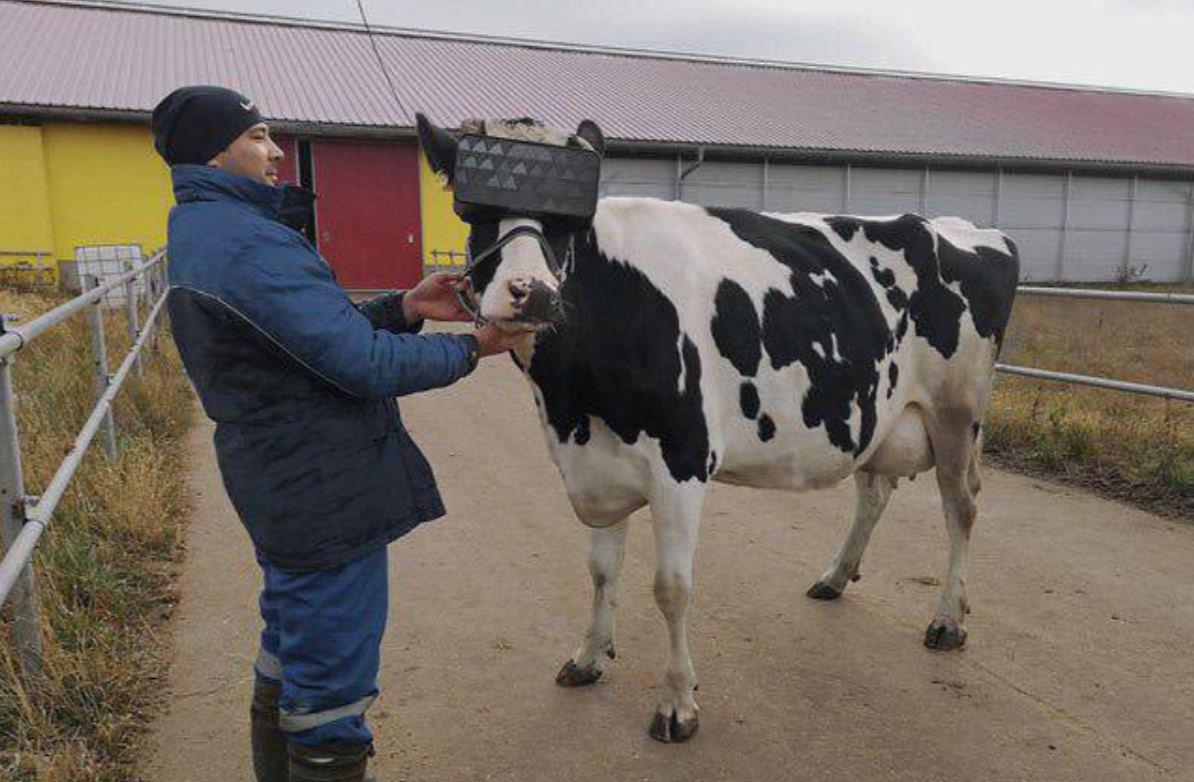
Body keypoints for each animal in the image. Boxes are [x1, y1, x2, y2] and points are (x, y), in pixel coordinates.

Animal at [417, 113, 1017, 744]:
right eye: (474, 214)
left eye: (568, 223)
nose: (531, 292)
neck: (572, 402)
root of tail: (964, 228)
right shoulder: (595, 464)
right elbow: (602, 570)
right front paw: (589, 656)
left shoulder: (682, 461)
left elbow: (671, 588)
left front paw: (678, 703)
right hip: (878, 412)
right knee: (874, 491)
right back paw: (835, 576)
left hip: (957, 413)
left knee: (961, 506)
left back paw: (948, 619)